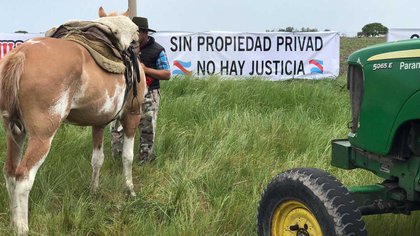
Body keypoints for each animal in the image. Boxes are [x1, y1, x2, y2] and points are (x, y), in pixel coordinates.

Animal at [0, 6, 147, 234]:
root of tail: (20, 54)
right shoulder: (132, 115)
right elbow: (127, 157)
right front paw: (130, 190)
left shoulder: (98, 123)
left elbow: (97, 159)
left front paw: (94, 190)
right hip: (42, 137)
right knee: (23, 178)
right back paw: (23, 228)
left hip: (14, 132)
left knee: (9, 172)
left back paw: (14, 224)